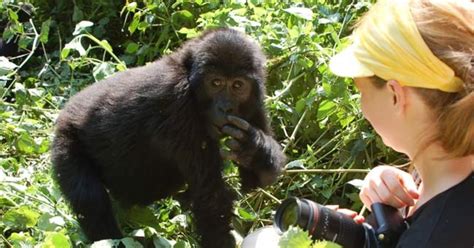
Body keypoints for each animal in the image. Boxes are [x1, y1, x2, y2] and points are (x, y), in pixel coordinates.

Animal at [51, 28, 286, 247]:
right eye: (216, 83)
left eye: (238, 85)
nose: (225, 108)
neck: (188, 75)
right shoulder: (175, 101)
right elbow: (210, 199)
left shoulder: (256, 98)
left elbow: (256, 182)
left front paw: (254, 148)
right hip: (66, 138)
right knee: (90, 197)